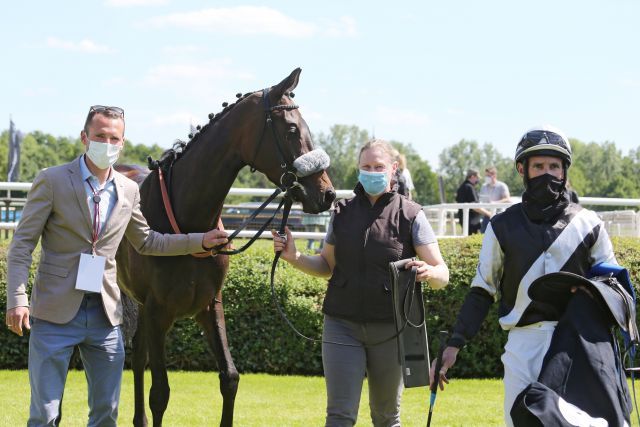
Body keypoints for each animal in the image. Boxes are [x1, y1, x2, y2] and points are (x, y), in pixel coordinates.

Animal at [115, 68, 336, 426]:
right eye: (291, 129)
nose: (327, 194)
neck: (186, 224)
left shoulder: (209, 305)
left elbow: (229, 378)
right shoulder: (158, 311)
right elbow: (159, 393)